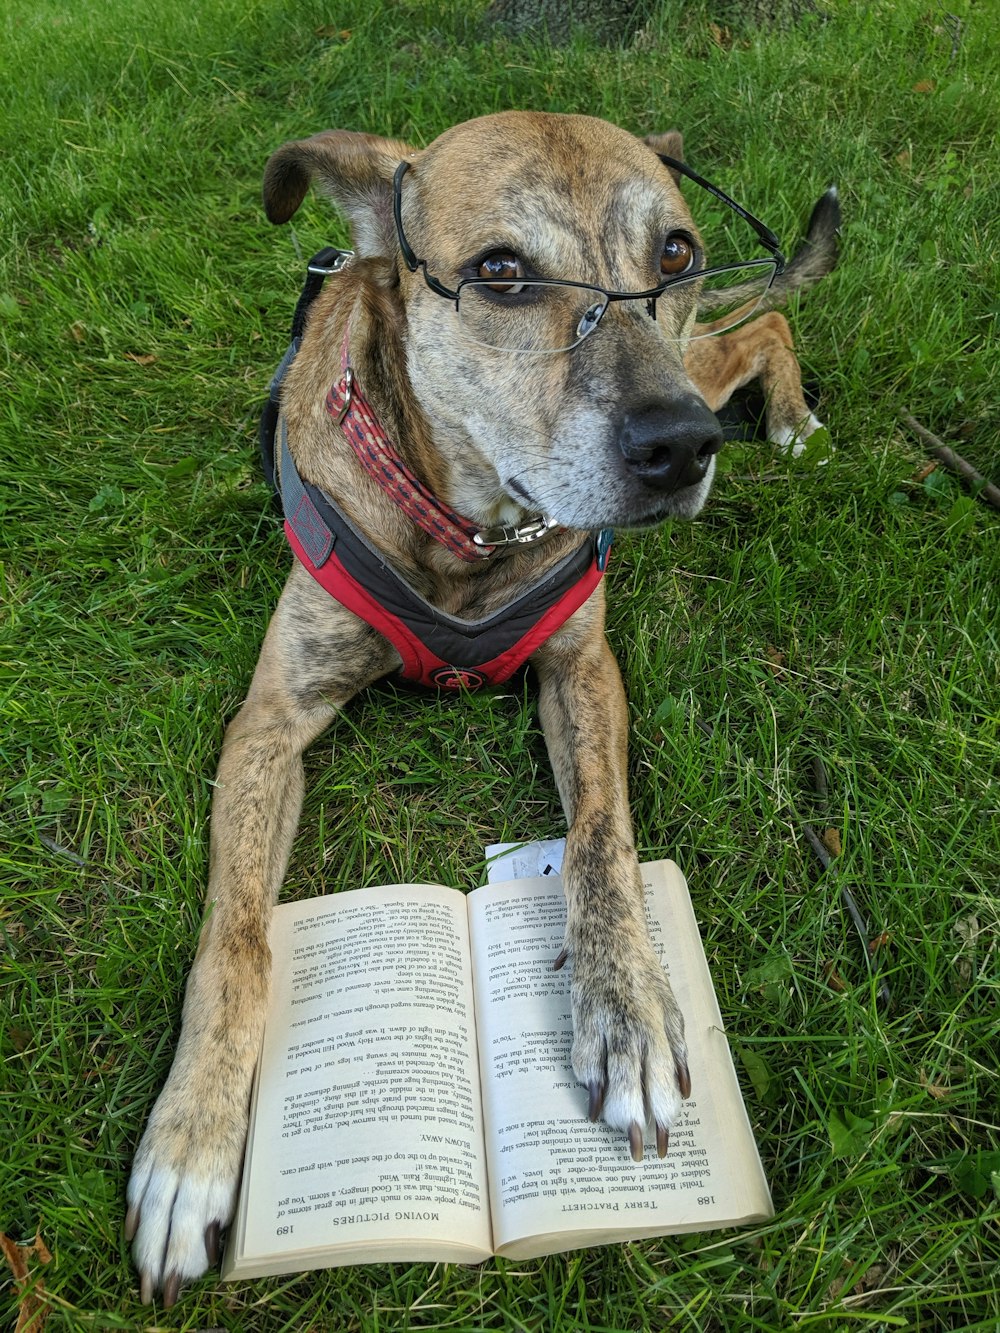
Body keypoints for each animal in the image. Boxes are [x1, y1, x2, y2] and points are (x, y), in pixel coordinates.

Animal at [129, 114, 842, 1301]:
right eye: (502, 272)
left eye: (678, 253)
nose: (676, 447)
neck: (470, 534)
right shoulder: (271, 720)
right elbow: (236, 937)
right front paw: (192, 1145)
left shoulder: (583, 669)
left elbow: (599, 841)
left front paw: (627, 1011)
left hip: (699, 369)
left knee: (767, 320)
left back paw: (787, 418)